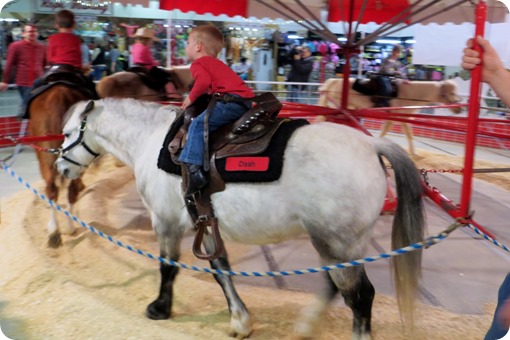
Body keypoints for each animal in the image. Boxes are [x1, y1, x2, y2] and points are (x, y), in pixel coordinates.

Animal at [55, 97, 424, 338]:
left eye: (68, 133)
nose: (60, 166)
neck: (151, 140)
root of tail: (371, 146)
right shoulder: (206, 224)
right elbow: (221, 271)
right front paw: (240, 320)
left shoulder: (166, 222)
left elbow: (168, 267)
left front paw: (160, 308)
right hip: (337, 244)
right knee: (336, 286)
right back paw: (306, 325)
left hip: (336, 241)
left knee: (359, 298)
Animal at [318, 77, 462, 155]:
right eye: (451, 92)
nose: (459, 109)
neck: (409, 94)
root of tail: (334, 80)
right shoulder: (396, 118)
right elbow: (388, 133)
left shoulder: (404, 119)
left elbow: (408, 134)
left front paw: (413, 153)